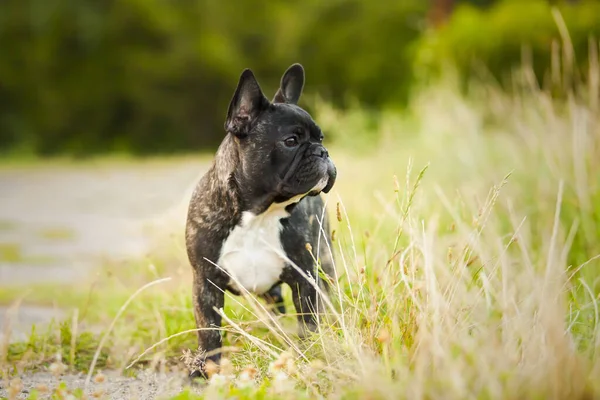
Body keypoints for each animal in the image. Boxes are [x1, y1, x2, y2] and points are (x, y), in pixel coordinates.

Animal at [184, 63, 338, 378]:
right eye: (291, 141)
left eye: (320, 139)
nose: (323, 152)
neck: (259, 213)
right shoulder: (205, 282)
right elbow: (209, 330)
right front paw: (206, 369)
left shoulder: (305, 277)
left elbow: (308, 322)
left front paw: (309, 355)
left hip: (325, 262)